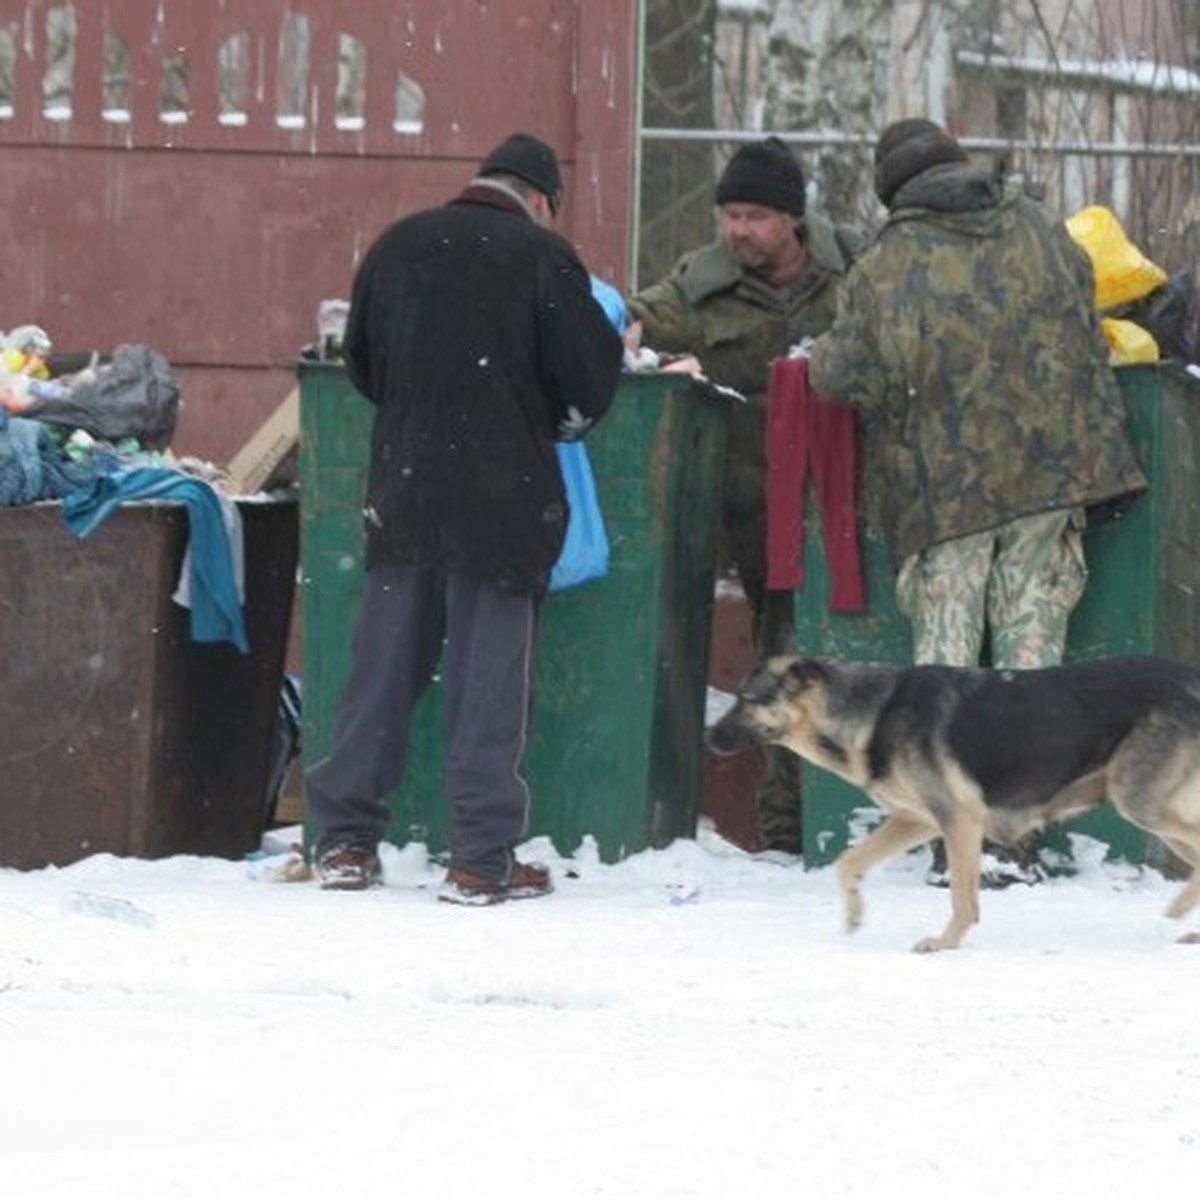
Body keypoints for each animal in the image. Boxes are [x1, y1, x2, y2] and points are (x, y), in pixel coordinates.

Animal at [705, 652, 1200, 950]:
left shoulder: (958, 820)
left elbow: (962, 894)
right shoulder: (917, 820)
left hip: (1141, 802)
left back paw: (1181, 912)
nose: (708, 737)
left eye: (747, 700)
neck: (871, 714)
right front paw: (855, 916)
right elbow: (849, 862)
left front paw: (945, 943)